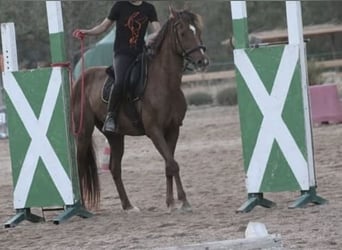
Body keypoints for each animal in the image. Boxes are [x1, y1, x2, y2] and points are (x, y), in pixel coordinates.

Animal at [73, 7, 208, 213]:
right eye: (183, 32)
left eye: (198, 31)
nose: (202, 61)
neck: (165, 84)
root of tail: (81, 78)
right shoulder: (154, 131)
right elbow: (173, 164)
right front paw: (181, 202)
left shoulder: (173, 130)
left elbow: (169, 164)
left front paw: (173, 202)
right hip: (84, 132)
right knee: (80, 164)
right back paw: (82, 207)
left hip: (115, 136)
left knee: (114, 168)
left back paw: (128, 206)